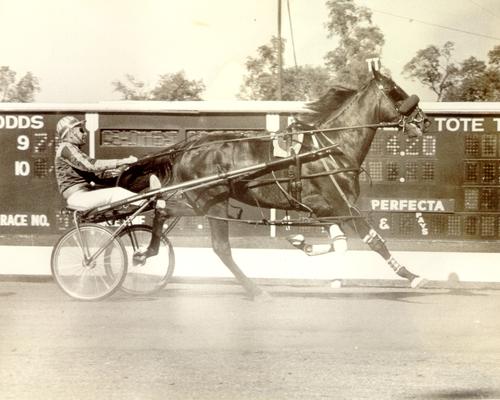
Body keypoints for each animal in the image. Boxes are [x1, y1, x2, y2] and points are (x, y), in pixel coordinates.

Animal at [116, 69, 430, 300]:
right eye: (395, 91)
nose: (424, 120)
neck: (330, 147)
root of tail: (190, 144)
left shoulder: (326, 210)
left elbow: (338, 244)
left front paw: (302, 242)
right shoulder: (343, 206)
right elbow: (375, 241)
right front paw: (412, 276)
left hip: (200, 202)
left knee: (162, 209)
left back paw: (146, 251)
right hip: (212, 200)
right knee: (220, 247)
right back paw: (255, 289)